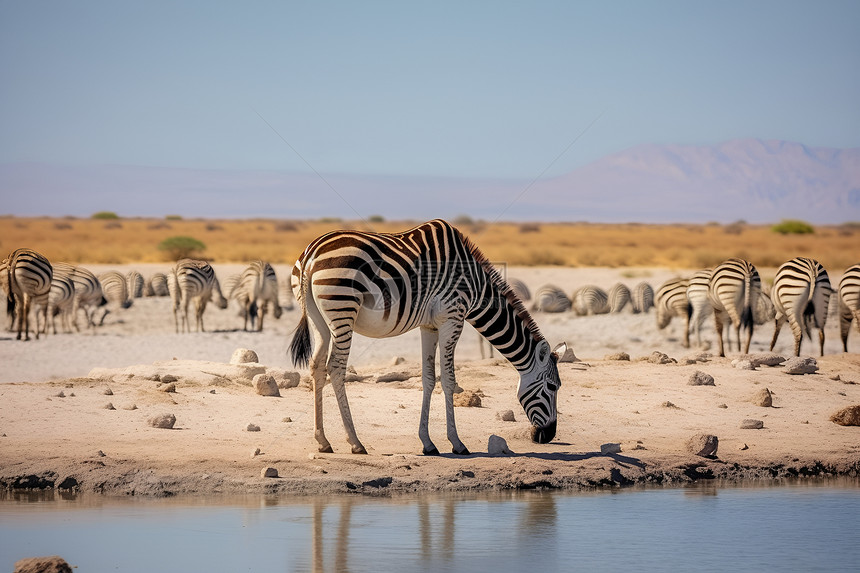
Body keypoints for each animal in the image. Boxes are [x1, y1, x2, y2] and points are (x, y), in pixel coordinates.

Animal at [288, 219, 564, 456]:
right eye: (552, 387)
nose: (548, 436)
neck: (475, 284)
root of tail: (312, 253)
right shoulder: (452, 318)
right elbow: (449, 381)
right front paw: (457, 443)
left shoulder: (428, 326)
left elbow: (429, 378)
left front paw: (428, 443)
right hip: (343, 310)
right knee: (335, 367)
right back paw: (355, 443)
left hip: (318, 318)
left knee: (316, 366)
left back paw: (323, 441)